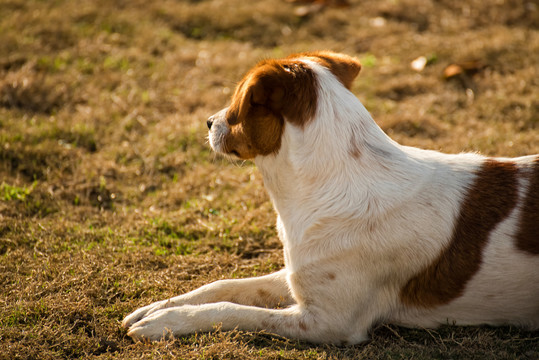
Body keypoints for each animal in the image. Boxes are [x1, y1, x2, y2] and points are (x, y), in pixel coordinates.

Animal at [123, 50, 539, 344]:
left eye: (238, 105)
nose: (208, 122)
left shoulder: (327, 323)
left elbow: (232, 309)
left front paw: (168, 322)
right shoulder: (298, 275)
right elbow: (223, 287)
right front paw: (156, 307)